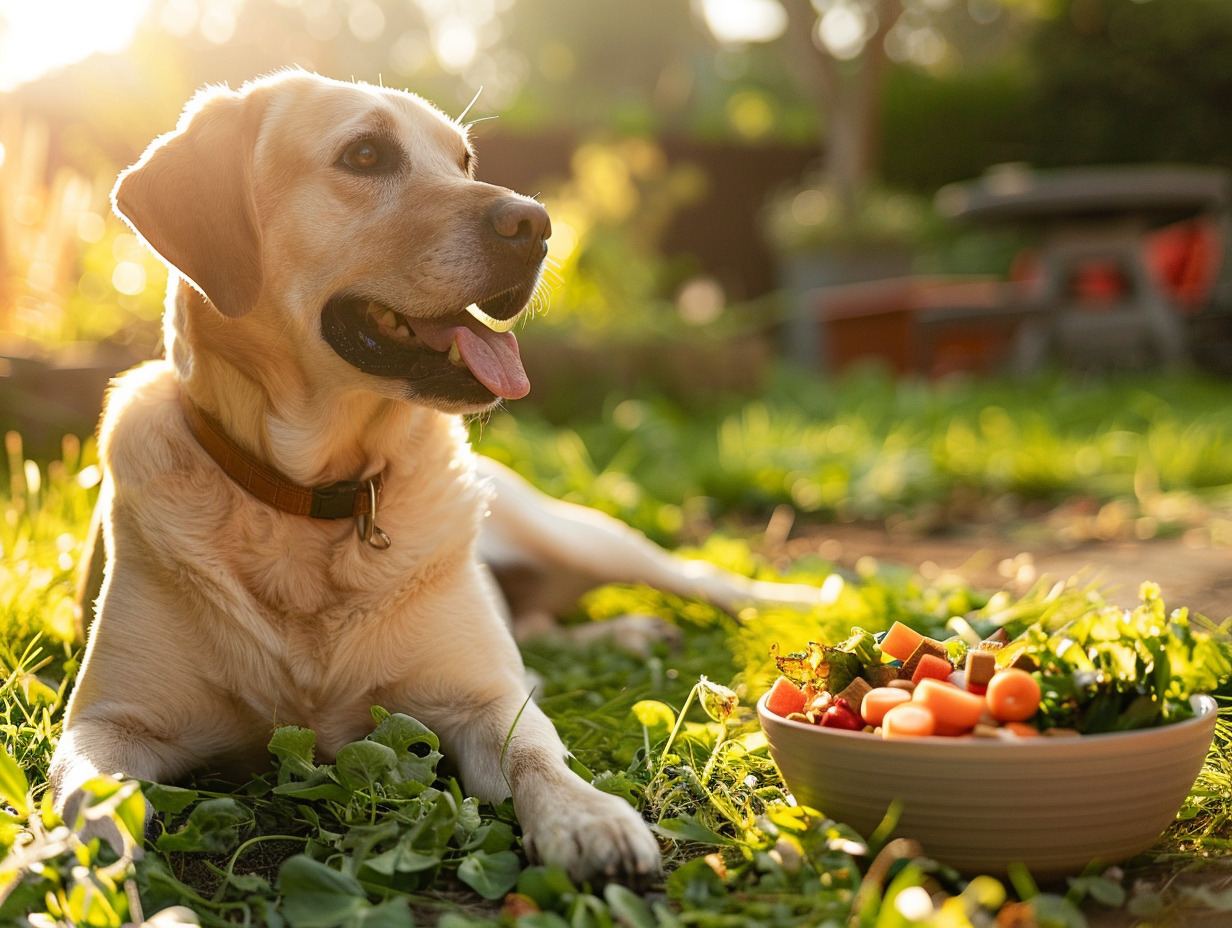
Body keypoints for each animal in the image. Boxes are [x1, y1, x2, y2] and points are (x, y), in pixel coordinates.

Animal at [50, 70, 818, 882]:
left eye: (464, 161)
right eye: (364, 154)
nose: (538, 223)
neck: (314, 498)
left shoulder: (485, 702)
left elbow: (535, 753)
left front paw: (586, 815)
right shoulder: (108, 721)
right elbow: (87, 792)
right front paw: (80, 855)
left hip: (580, 536)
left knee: (700, 579)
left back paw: (801, 600)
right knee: (542, 628)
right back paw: (629, 634)